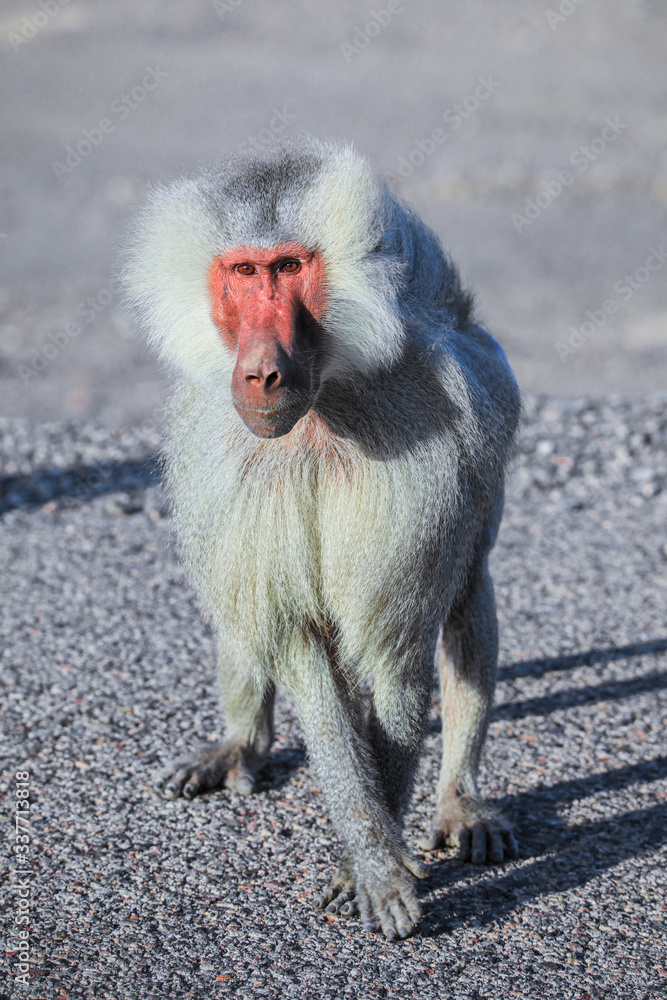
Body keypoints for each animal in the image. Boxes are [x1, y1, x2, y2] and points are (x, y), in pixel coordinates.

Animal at [123, 136, 521, 941]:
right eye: (243, 273)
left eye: (288, 269)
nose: (262, 374)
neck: (321, 405)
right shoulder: (229, 459)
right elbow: (299, 642)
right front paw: (371, 857)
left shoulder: (423, 451)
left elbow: (396, 661)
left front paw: (367, 863)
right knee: (245, 610)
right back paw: (239, 744)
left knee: (467, 590)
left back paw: (460, 798)